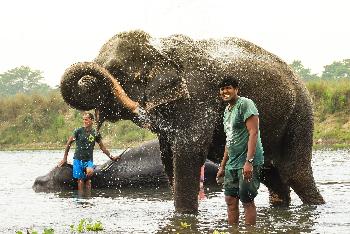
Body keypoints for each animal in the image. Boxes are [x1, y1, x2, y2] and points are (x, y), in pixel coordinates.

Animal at [60, 30, 326, 213]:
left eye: (116, 71)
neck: (159, 48)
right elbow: (169, 157)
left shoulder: (197, 99)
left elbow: (188, 153)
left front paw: (185, 216)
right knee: (274, 177)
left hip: (300, 116)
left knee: (295, 173)